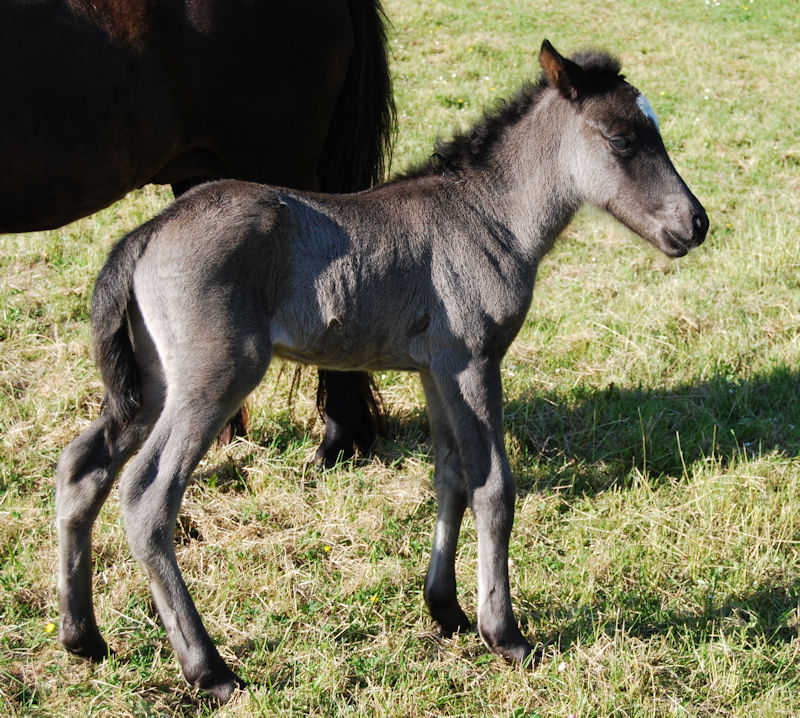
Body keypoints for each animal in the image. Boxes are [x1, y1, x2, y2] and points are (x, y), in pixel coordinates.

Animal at [54, 40, 708, 704]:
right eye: (622, 140)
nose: (696, 223)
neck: (489, 215)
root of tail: (142, 236)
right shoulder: (473, 360)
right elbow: (494, 487)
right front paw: (505, 634)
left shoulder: (434, 370)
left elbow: (451, 475)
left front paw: (445, 610)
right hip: (214, 377)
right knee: (147, 495)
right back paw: (209, 669)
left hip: (153, 383)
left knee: (82, 467)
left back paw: (84, 639)